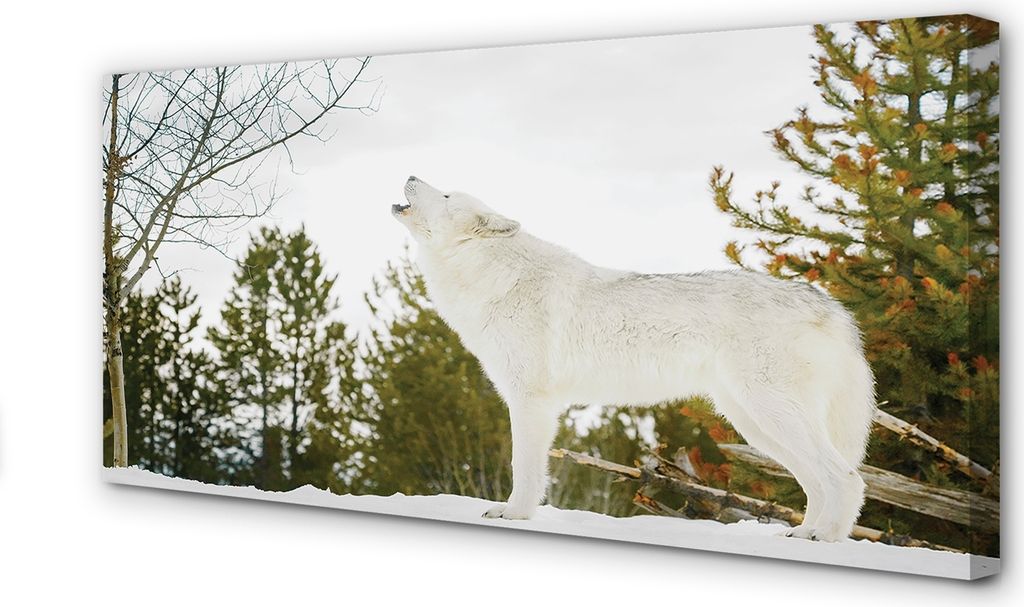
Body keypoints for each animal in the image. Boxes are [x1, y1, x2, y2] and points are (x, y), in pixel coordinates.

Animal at [392, 176, 875, 542]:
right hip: (756, 425)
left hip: (772, 415)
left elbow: (523, 467)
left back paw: (825, 539)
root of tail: (832, 307)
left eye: (447, 195)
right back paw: (801, 535)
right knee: (818, 482)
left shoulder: (531, 401)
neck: (492, 275)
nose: (411, 174)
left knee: (848, 478)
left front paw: (514, 516)